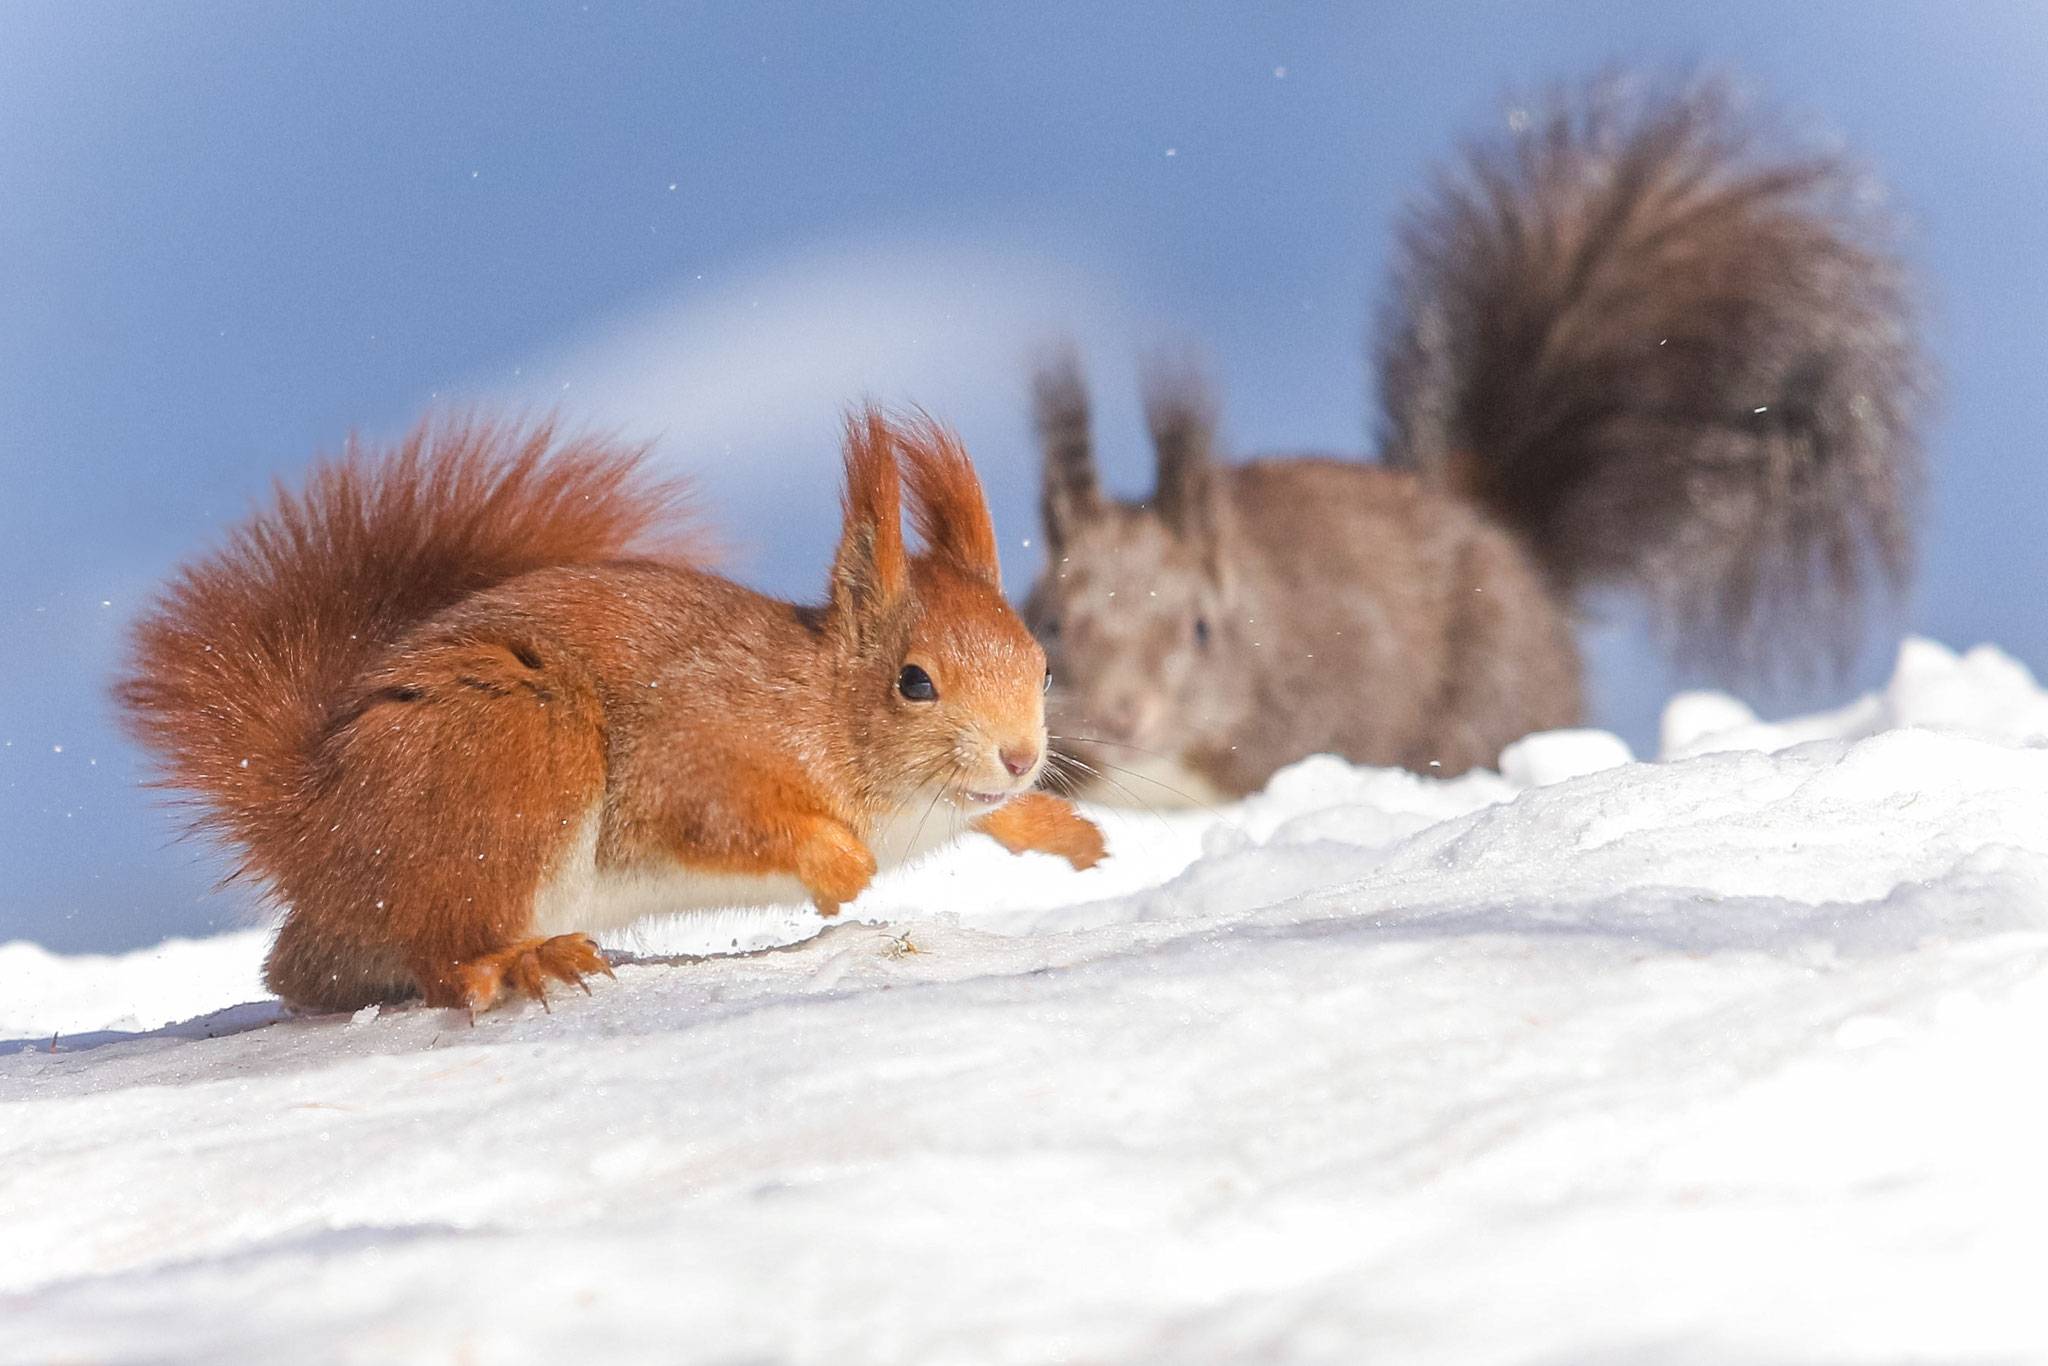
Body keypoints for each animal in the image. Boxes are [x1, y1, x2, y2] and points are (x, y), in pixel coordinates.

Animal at [117, 409, 1106, 1015]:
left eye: (1044, 666)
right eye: (914, 682)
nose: (1020, 755)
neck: (822, 703)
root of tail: (313, 818)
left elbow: (992, 819)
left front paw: (1063, 829)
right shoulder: (690, 752)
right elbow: (721, 820)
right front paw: (840, 866)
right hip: (516, 755)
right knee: (440, 950)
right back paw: (519, 962)